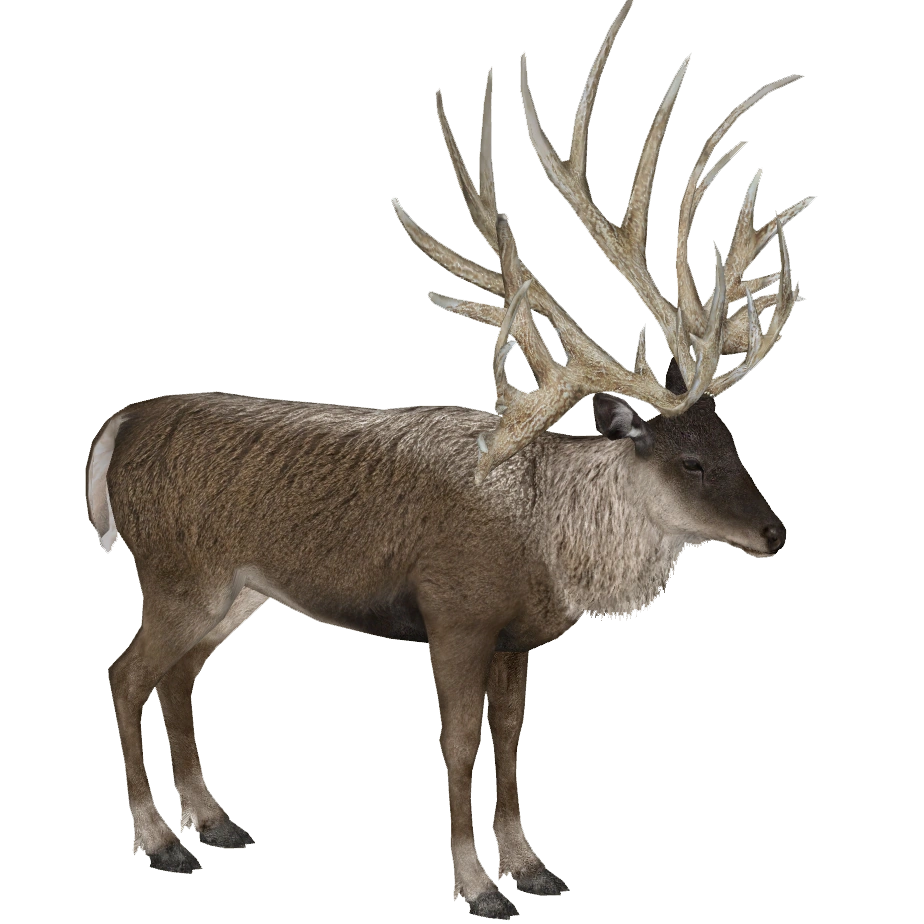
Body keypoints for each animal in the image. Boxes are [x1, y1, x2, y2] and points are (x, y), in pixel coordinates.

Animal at [85, 1, 818, 918]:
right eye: (688, 460)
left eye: (735, 443)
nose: (778, 531)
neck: (549, 539)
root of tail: (121, 423)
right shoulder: (455, 615)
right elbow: (461, 750)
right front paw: (476, 885)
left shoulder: (517, 640)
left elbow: (512, 745)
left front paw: (532, 865)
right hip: (177, 572)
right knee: (123, 675)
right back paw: (159, 844)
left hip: (236, 593)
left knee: (177, 680)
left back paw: (216, 822)